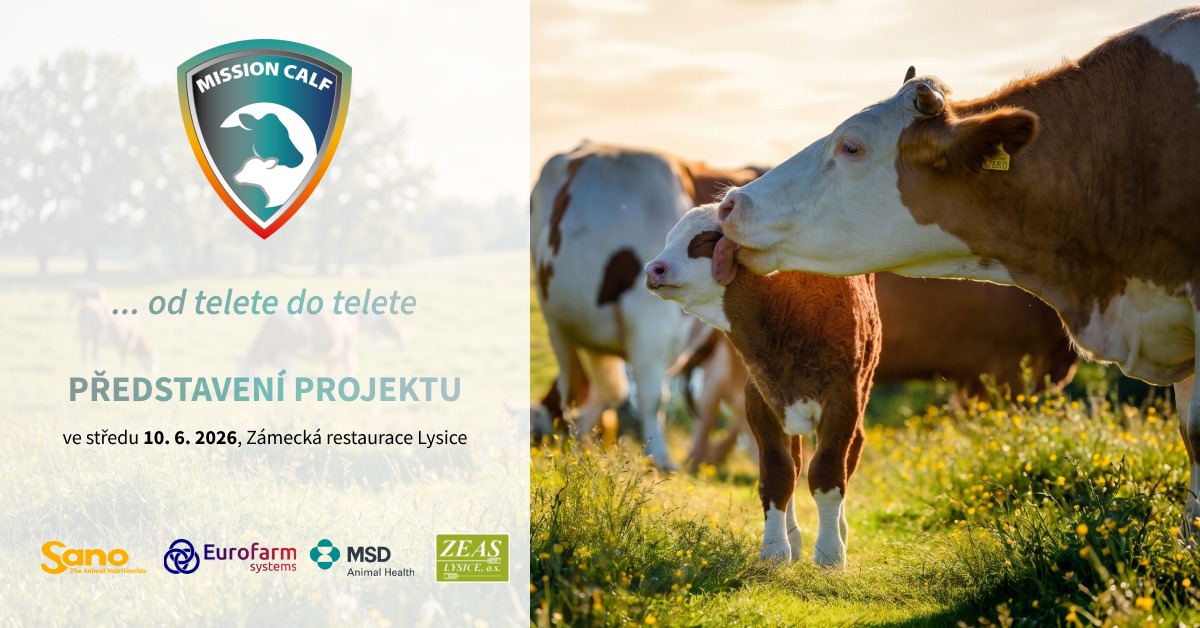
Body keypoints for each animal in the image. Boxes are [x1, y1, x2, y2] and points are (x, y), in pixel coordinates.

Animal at [530, 141, 763, 469]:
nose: (540, 443)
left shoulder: (650, 321)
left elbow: (649, 396)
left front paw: (660, 457)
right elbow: (615, 391)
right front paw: (580, 443)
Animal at [646, 204, 882, 566]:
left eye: (706, 241)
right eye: (670, 237)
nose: (653, 269)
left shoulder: (842, 400)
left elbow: (828, 472)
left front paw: (830, 553)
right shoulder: (760, 398)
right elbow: (778, 473)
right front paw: (774, 549)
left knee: (849, 455)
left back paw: (839, 532)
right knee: (796, 465)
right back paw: (794, 538)